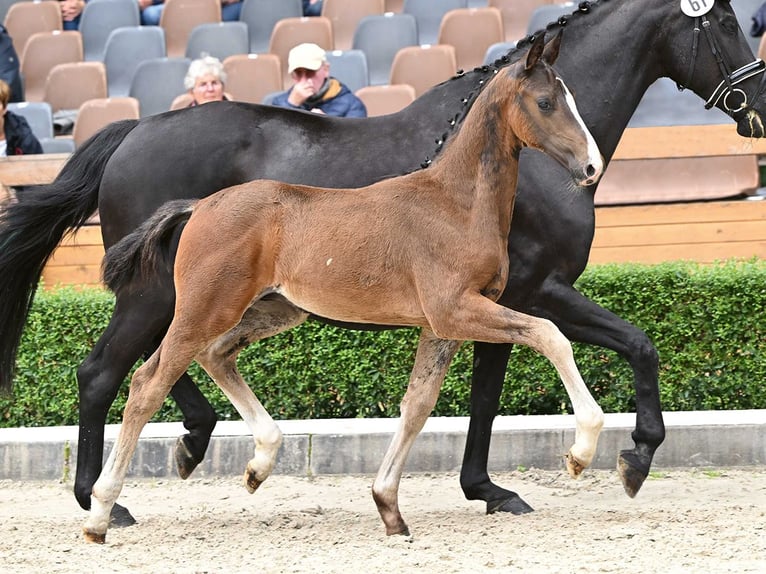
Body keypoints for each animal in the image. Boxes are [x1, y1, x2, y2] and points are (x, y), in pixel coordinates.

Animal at [85, 32, 608, 544]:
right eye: (545, 102)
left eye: (572, 98)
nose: (591, 167)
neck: (456, 203)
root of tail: (197, 207)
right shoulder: (456, 309)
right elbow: (550, 335)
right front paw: (580, 451)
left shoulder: (441, 326)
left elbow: (417, 404)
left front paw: (389, 507)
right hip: (203, 307)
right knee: (145, 383)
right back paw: (100, 512)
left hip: (273, 310)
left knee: (214, 356)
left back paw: (258, 463)